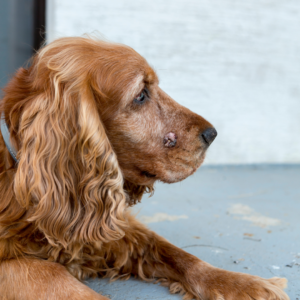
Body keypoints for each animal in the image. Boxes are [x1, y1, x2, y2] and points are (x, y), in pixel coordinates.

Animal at [0, 37, 290, 300]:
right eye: (140, 95)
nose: (212, 134)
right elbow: (53, 274)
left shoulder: (111, 224)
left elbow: (179, 254)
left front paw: (245, 284)